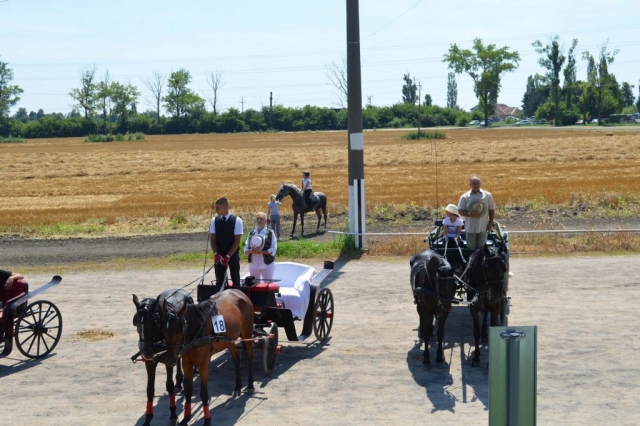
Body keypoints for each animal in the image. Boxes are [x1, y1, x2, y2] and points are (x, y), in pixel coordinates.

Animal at [132, 288, 192, 424]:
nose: (144, 351)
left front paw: (173, 413)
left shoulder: (168, 360)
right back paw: (179, 381)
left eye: (152, 323)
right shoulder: (149, 362)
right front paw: (148, 418)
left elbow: (169, 385)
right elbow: (149, 389)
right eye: (137, 321)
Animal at [162, 288, 255, 424]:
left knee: (249, 356)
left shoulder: (203, 364)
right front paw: (186, 418)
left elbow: (204, 394)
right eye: (163, 329)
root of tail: (239, 292)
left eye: (179, 330)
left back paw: (250, 385)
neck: (197, 330)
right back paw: (238, 387)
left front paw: (207, 420)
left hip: (247, 333)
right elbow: (188, 391)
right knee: (236, 358)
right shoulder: (186, 364)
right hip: (229, 340)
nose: (169, 359)